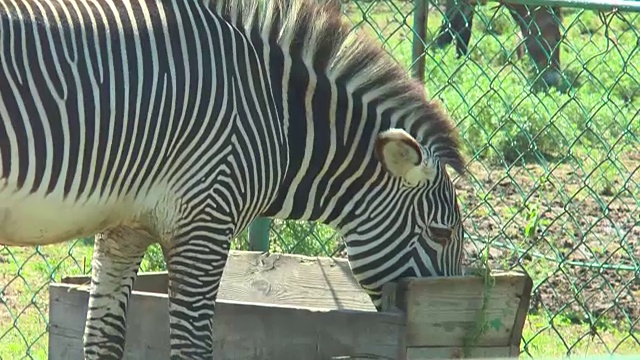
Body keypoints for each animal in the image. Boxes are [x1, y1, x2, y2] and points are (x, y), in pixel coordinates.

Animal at [1, 0, 464, 358]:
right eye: (440, 233)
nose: (452, 314)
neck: (273, 115)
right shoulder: (204, 222)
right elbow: (192, 346)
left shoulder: (125, 227)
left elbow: (103, 341)